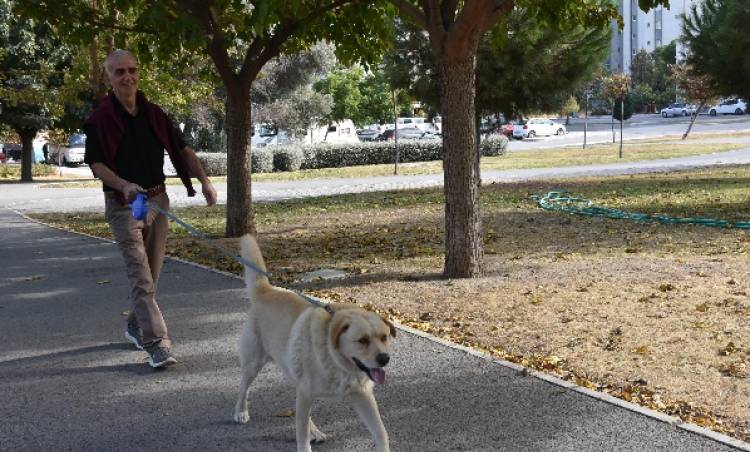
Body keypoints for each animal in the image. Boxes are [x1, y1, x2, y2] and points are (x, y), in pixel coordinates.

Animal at [233, 234, 395, 452]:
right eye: (362, 340)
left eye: (384, 337)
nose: (384, 358)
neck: (336, 360)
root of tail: (266, 291)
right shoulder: (305, 394)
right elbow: (301, 437)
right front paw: (305, 440)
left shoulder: (362, 396)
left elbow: (380, 432)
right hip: (253, 364)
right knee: (244, 387)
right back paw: (241, 411)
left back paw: (315, 432)